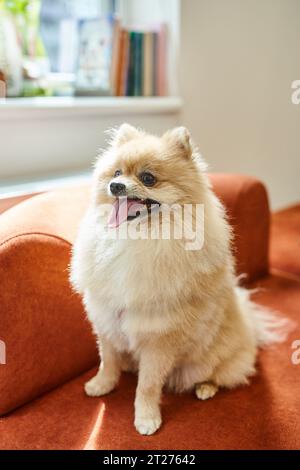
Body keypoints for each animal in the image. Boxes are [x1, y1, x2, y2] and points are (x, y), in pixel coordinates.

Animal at [69, 123, 286, 436]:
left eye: (148, 178)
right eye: (116, 173)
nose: (115, 186)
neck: (137, 238)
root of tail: (250, 327)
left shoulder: (159, 341)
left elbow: (147, 385)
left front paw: (146, 418)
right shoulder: (106, 319)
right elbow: (107, 360)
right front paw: (102, 384)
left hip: (212, 361)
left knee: (220, 375)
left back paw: (206, 388)